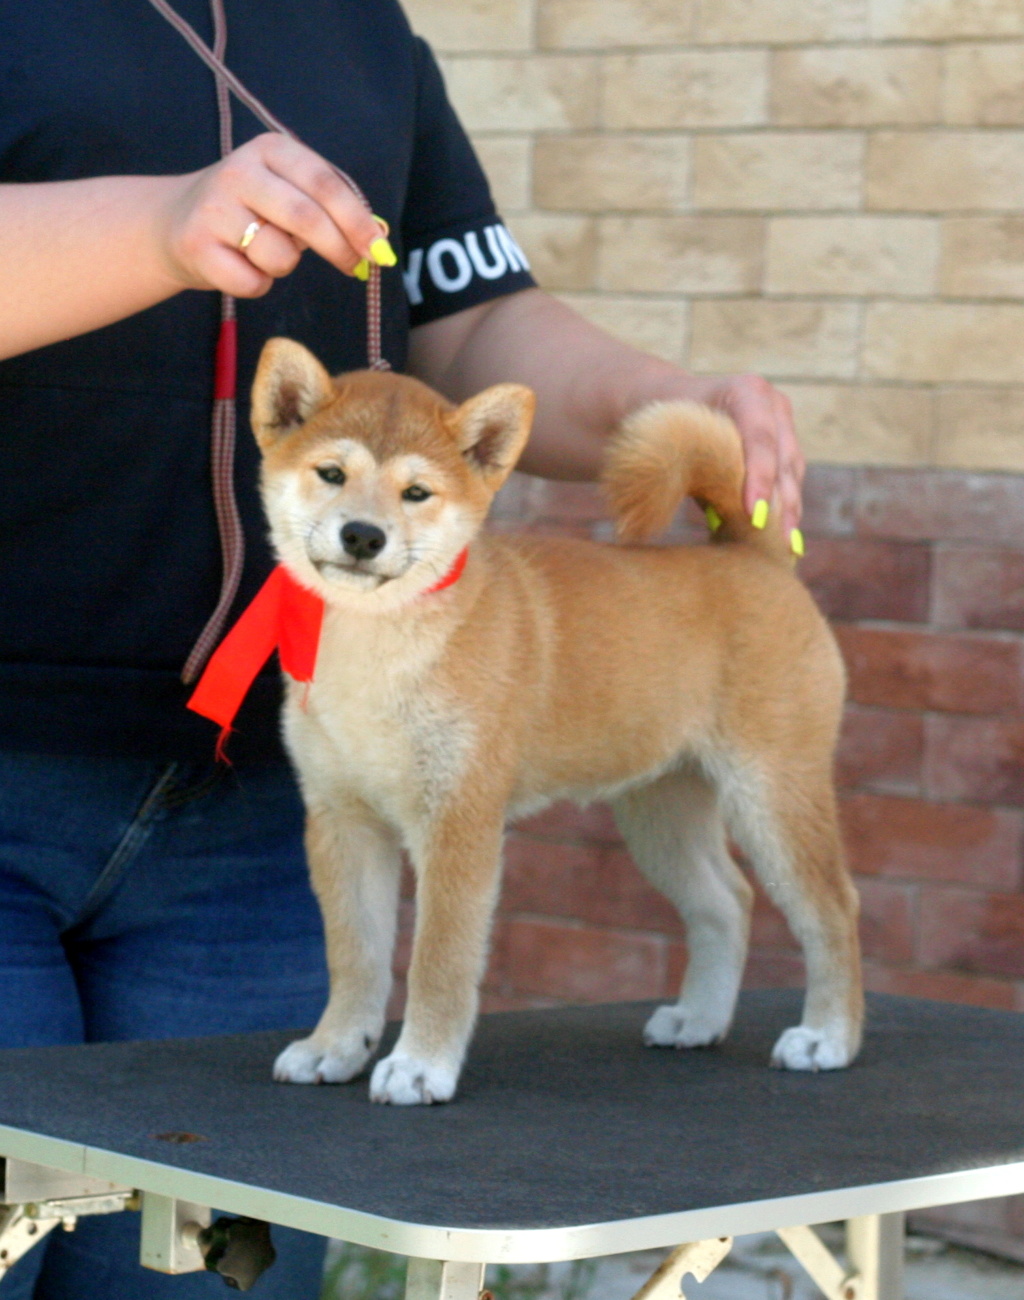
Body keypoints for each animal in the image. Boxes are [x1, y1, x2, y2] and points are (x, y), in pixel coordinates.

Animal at [252, 338, 857, 1107]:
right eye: (332, 473)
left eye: (417, 492)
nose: (363, 535)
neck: (376, 649)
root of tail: (757, 556)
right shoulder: (342, 818)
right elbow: (354, 956)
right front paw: (335, 1047)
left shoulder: (459, 820)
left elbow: (439, 960)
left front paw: (420, 1065)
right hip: (661, 810)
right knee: (728, 900)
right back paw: (698, 1019)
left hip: (773, 793)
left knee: (833, 907)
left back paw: (829, 1037)